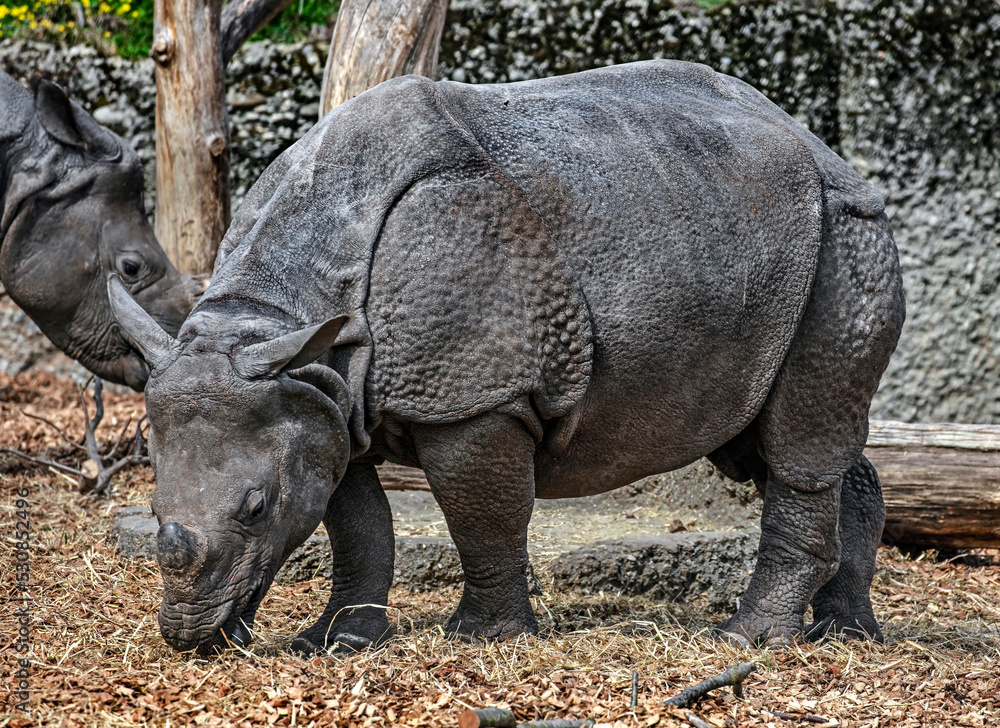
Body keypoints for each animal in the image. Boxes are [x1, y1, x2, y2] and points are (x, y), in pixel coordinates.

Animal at [109, 60, 905, 654]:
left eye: (254, 508)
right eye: (149, 506)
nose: (190, 637)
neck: (276, 311)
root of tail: (825, 150)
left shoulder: (472, 398)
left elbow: (480, 514)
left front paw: (481, 638)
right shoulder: (320, 395)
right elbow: (355, 522)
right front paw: (334, 642)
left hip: (844, 234)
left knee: (797, 445)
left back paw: (747, 641)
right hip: (744, 232)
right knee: (773, 439)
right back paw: (846, 635)